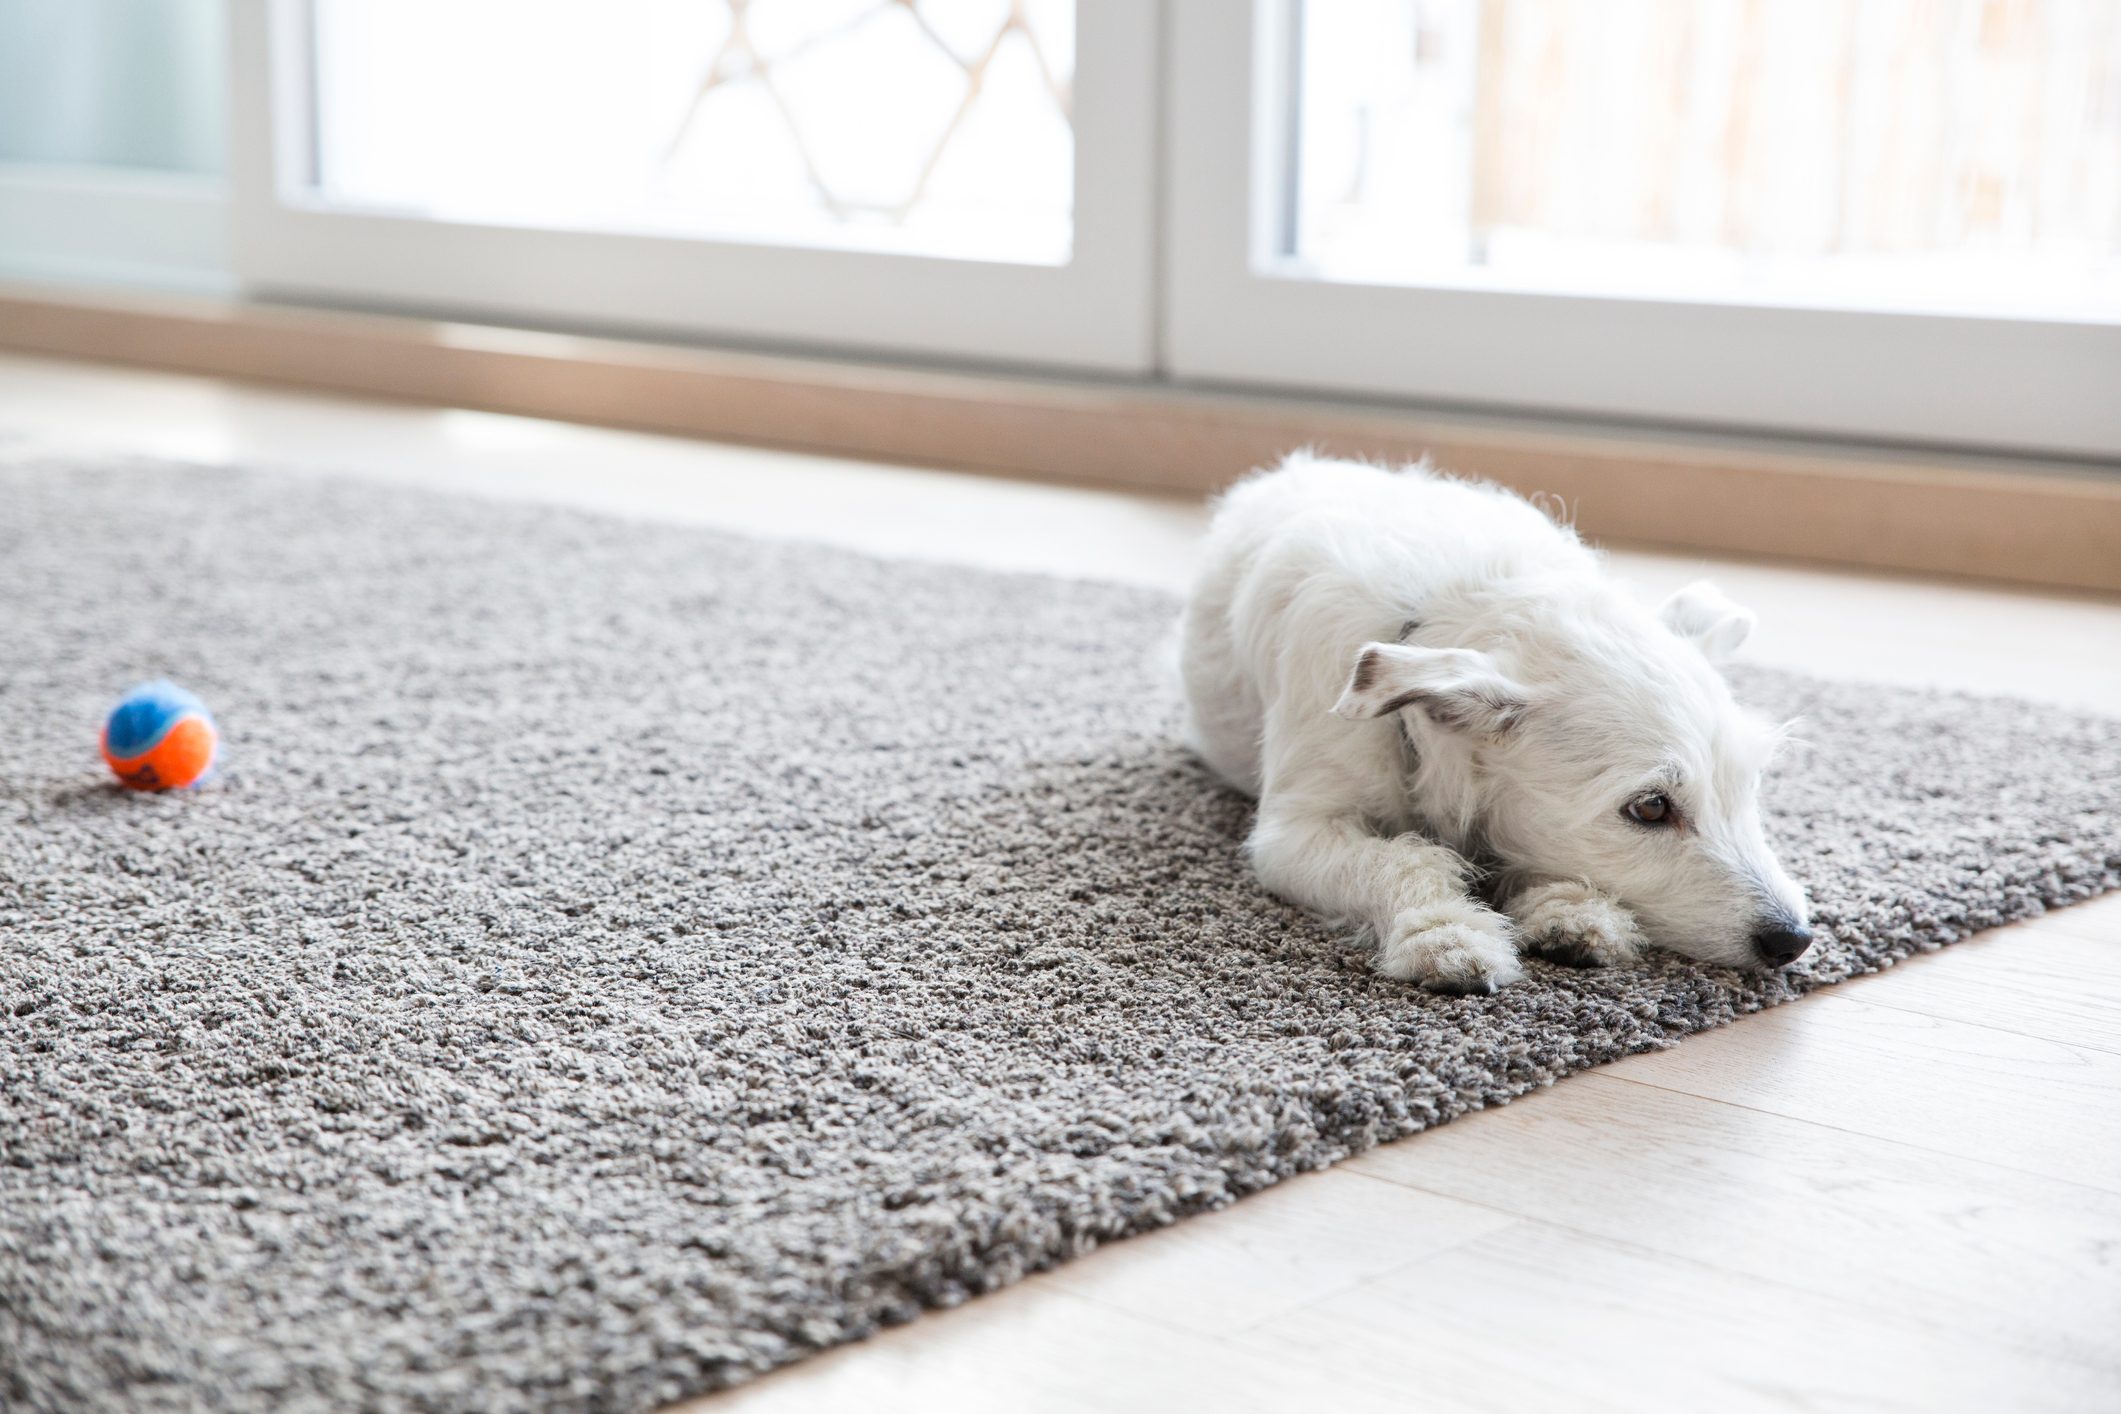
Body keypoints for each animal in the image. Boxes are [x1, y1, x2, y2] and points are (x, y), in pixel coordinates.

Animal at [1179, 453, 1807, 996]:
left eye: (1751, 783)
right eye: (1650, 807)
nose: (1793, 939)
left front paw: (1573, 910)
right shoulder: (1294, 834)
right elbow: (1396, 858)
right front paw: (1445, 933)